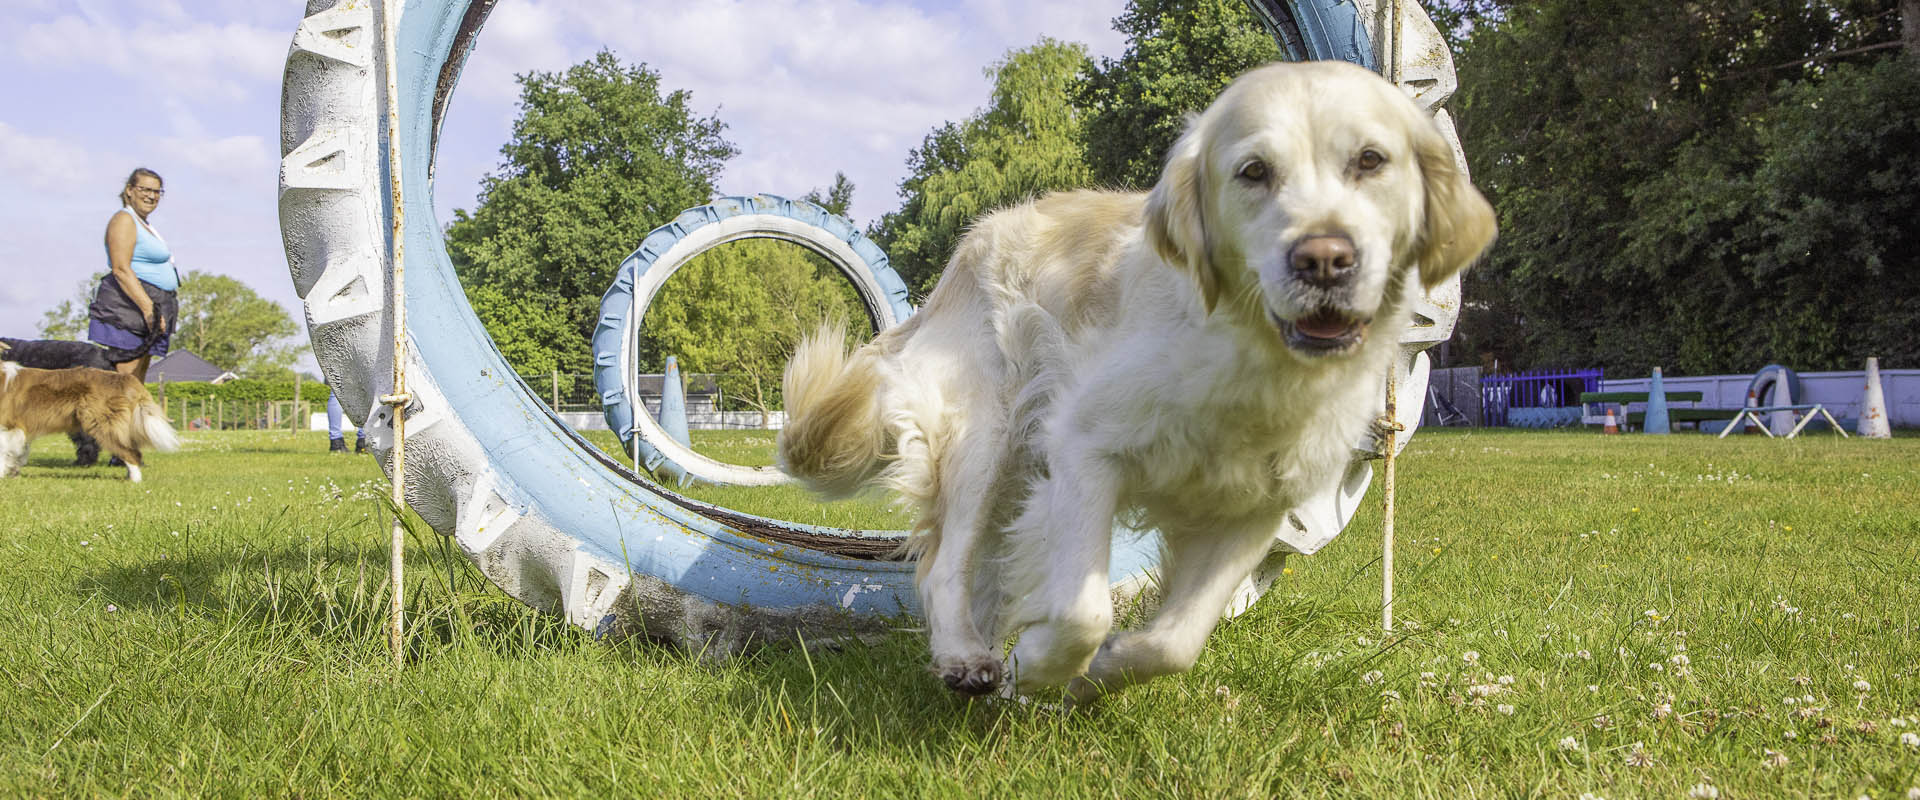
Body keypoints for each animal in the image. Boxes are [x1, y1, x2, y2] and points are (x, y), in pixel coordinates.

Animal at [0, 358, 181, 483]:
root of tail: (125, 378)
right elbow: (18, 453)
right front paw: (13, 472)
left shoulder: (7, 427)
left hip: (102, 425)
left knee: (132, 453)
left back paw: (134, 481)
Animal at [779, 60, 1497, 698]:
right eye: (1254, 172)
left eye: (1371, 160)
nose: (1324, 258)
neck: (1252, 359)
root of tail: (968, 244)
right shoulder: (1085, 449)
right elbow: (1083, 610)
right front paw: (1037, 665)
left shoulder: (1257, 508)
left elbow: (1174, 641)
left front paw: (1095, 676)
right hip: (986, 440)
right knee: (944, 569)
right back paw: (967, 658)